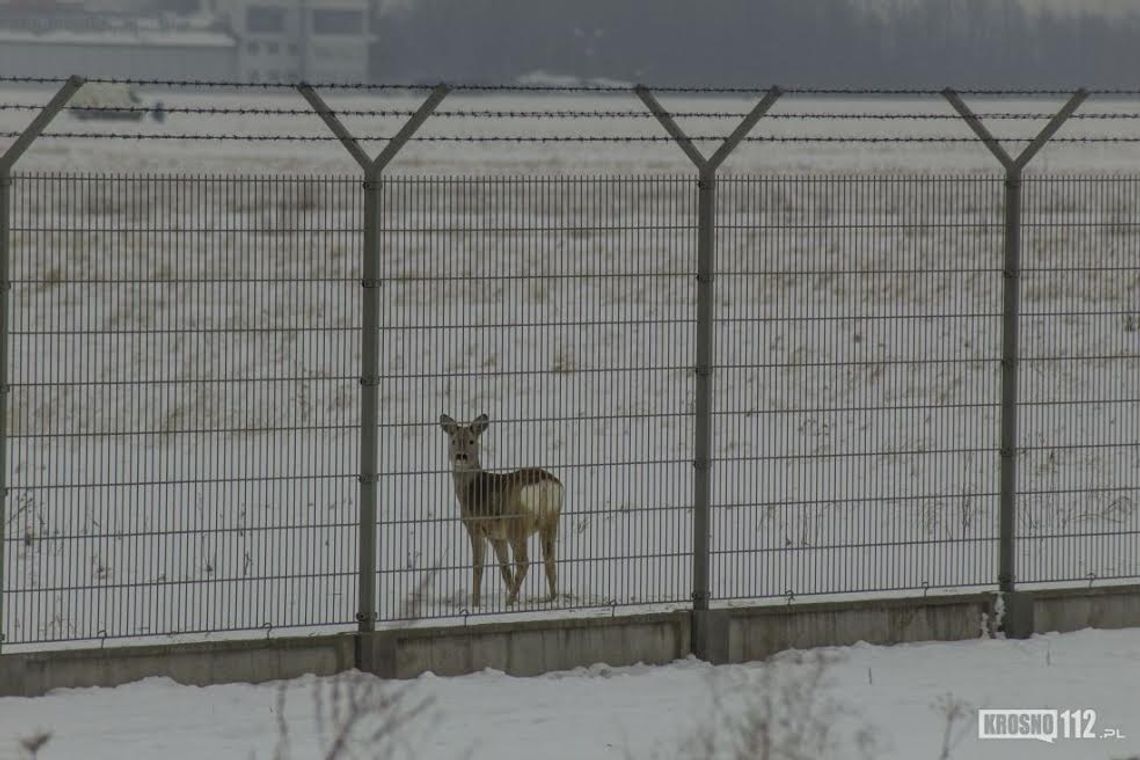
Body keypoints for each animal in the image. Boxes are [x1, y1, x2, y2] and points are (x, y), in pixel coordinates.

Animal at [435, 412, 560, 610]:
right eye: (453, 440)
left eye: (471, 441)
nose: (461, 456)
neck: (472, 489)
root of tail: (545, 486)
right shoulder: (496, 535)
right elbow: (504, 568)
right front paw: (517, 600)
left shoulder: (476, 526)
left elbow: (478, 566)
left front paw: (476, 604)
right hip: (551, 519)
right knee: (549, 558)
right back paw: (552, 598)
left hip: (516, 523)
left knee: (524, 562)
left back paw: (509, 602)